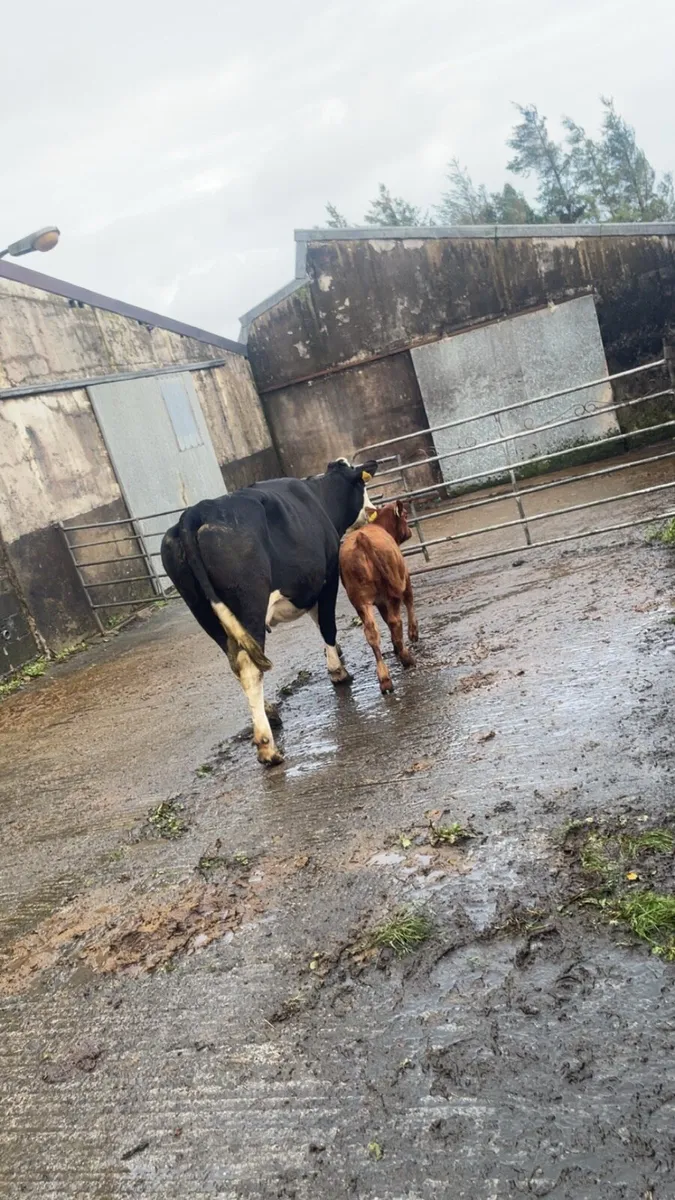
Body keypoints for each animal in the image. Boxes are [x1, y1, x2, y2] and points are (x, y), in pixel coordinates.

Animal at [161, 458, 378, 766]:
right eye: (363, 485)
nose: (372, 509)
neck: (319, 496)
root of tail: (194, 512)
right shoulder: (326, 578)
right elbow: (327, 624)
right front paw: (338, 671)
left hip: (208, 615)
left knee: (238, 660)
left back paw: (269, 711)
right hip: (249, 606)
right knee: (250, 668)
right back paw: (267, 747)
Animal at [339, 500, 419, 695]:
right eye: (405, 514)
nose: (410, 530)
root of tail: (362, 538)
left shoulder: (380, 602)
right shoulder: (405, 577)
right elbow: (409, 601)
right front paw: (413, 633)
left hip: (360, 601)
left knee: (372, 633)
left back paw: (385, 678)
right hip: (392, 589)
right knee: (395, 620)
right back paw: (406, 658)